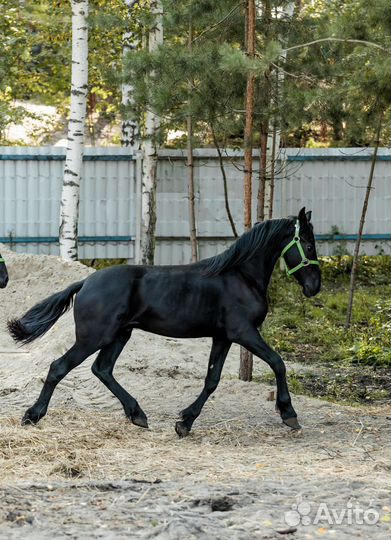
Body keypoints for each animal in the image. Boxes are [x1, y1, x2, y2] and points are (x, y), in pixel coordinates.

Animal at [8, 207, 322, 434]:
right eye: (308, 244)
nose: (314, 287)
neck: (240, 277)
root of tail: (85, 283)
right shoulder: (244, 333)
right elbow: (278, 363)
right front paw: (289, 415)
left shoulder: (223, 337)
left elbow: (212, 380)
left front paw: (185, 422)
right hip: (94, 337)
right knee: (59, 367)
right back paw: (33, 415)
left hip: (119, 335)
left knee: (102, 369)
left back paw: (137, 415)